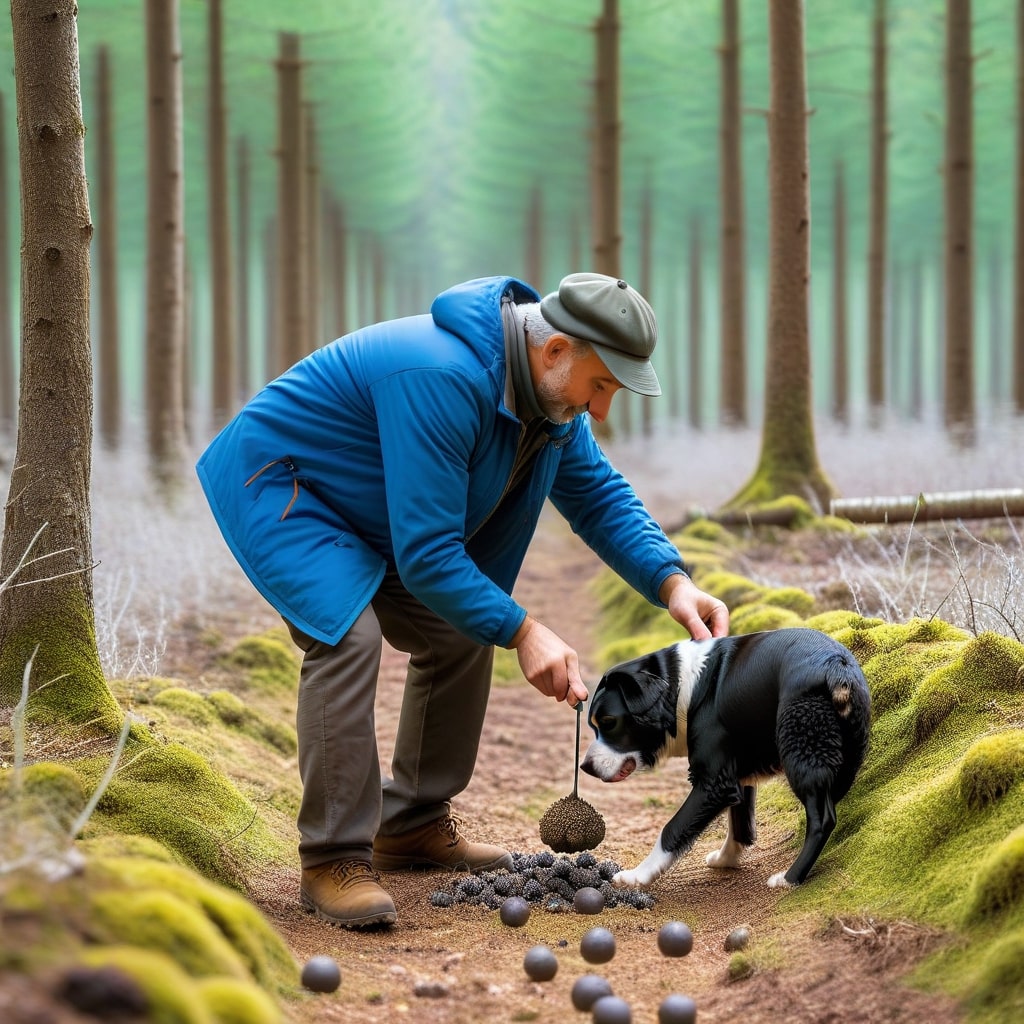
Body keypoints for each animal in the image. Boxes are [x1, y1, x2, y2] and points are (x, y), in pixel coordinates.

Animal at [581, 622, 868, 888]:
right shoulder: (738, 776)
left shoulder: (714, 784)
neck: (682, 687)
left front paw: (637, 875)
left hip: (803, 748)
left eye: (608, 722)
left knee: (822, 820)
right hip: (844, 754)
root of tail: (836, 668)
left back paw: (789, 878)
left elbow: (672, 829)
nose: (585, 767)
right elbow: (739, 824)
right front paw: (725, 860)